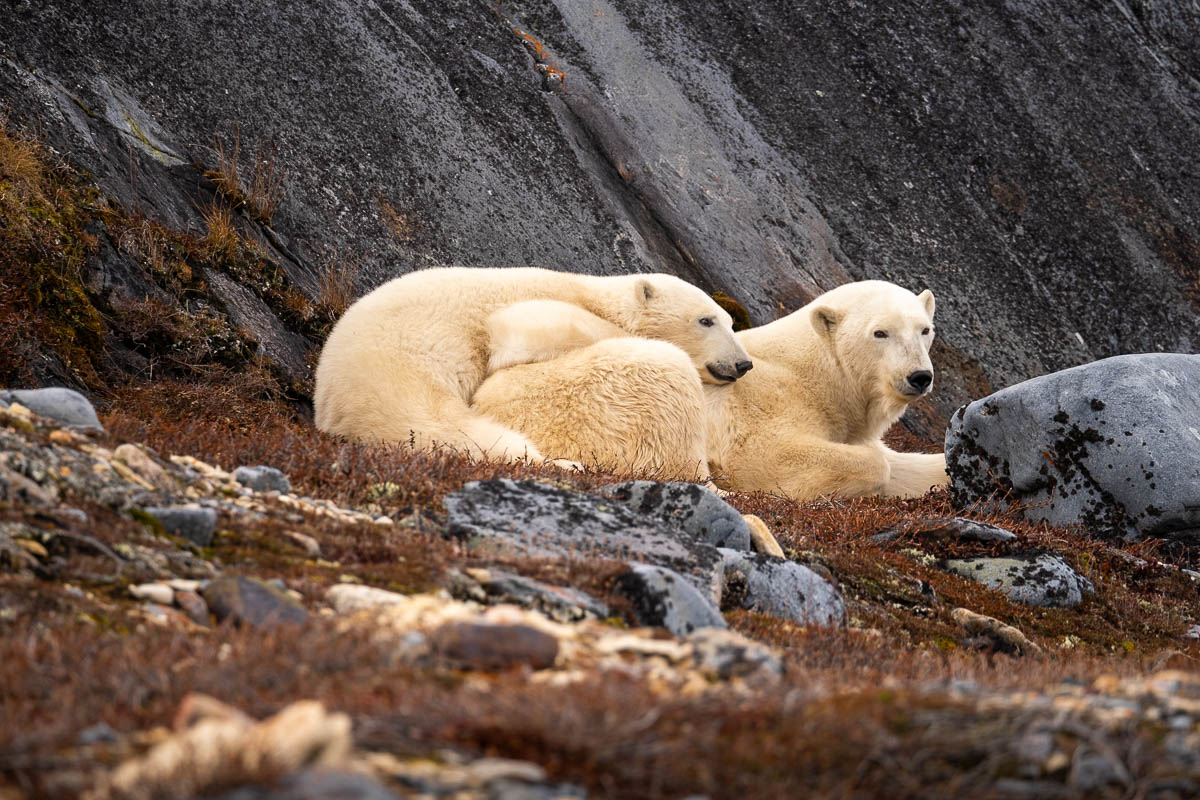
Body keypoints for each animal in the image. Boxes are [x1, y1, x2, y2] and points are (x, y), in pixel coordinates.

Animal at [472, 278, 950, 496]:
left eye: (924, 329)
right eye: (880, 333)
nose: (919, 377)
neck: (819, 375)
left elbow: (906, 464)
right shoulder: (768, 406)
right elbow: (772, 455)